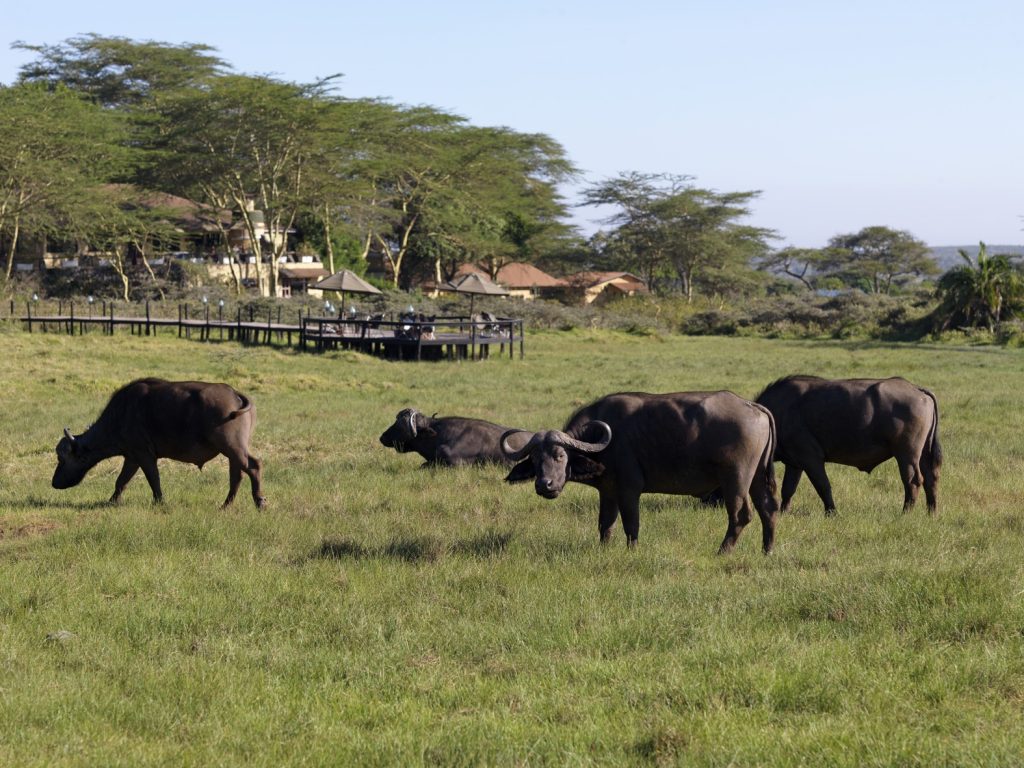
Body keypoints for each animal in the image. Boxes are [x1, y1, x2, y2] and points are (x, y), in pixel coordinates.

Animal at [54, 378, 266, 512]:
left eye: (62, 458)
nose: (54, 483)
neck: (121, 414)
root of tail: (234, 393)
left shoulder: (144, 455)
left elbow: (153, 479)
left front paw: (160, 502)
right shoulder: (132, 457)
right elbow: (121, 481)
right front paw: (112, 501)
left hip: (232, 447)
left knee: (253, 466)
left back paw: (260, 503)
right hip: (232, 451)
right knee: (237, 475)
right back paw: (226, 505)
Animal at [499, 391, 778, 552]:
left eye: (559, 456)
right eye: (535, 459)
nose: (544, 484)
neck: (603, 440)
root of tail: (752, 406)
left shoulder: (629, 490)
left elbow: (631, 524)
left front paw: (631, 551)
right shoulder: (608, 492)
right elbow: (605, 524)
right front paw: (604, 550)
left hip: (735, 480)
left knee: (740, 515)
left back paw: (722, 551)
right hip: (756, 477)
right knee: (768, 509)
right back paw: (767, 550)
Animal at [757, 374, 937, 514]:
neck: (779, 414)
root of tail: (917, 389)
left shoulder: (811, 459)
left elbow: (823, 485)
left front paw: (831, 512)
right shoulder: (794, 463)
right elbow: (788, 489)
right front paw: (783, 512)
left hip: (906, 454)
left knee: (912, 480)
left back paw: (906, 513)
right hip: (923, 453)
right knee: (931, 477)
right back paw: (931, 512)